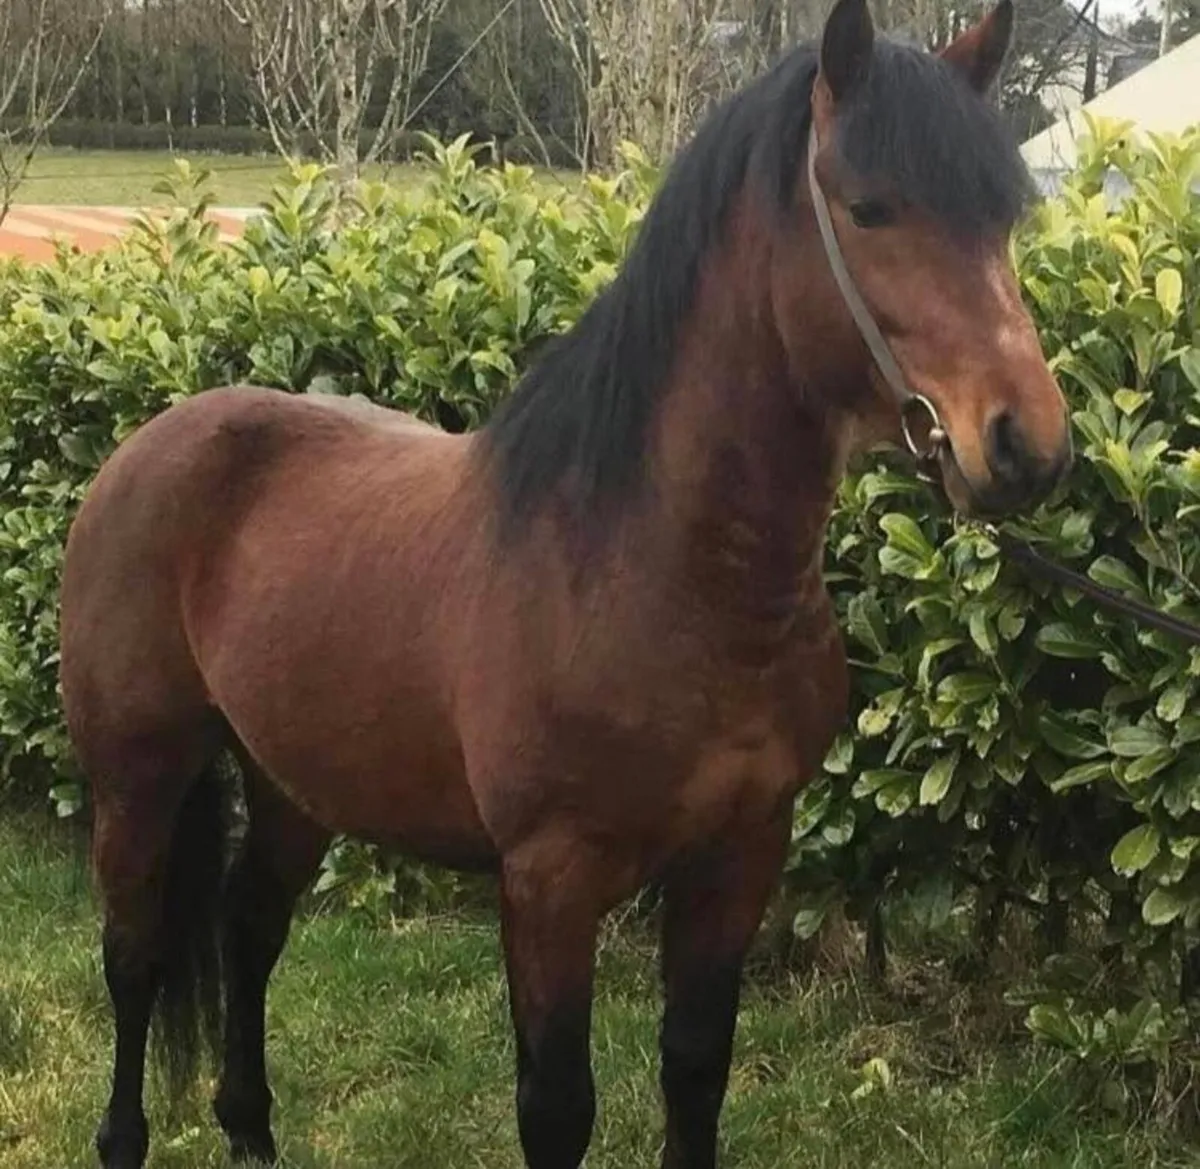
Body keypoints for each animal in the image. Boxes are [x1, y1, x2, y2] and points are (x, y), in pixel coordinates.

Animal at [59, 0, 1072, 1165]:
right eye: (869, 208)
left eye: (1002, 219)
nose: (1027, 445)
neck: (660, 572)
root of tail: (149, 446)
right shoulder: (550, 877)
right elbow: (557, 1105)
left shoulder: (739, 855)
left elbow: (695, 1069)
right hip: (139, 775)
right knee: (135, 961)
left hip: (293, 781)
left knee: (248, 932)